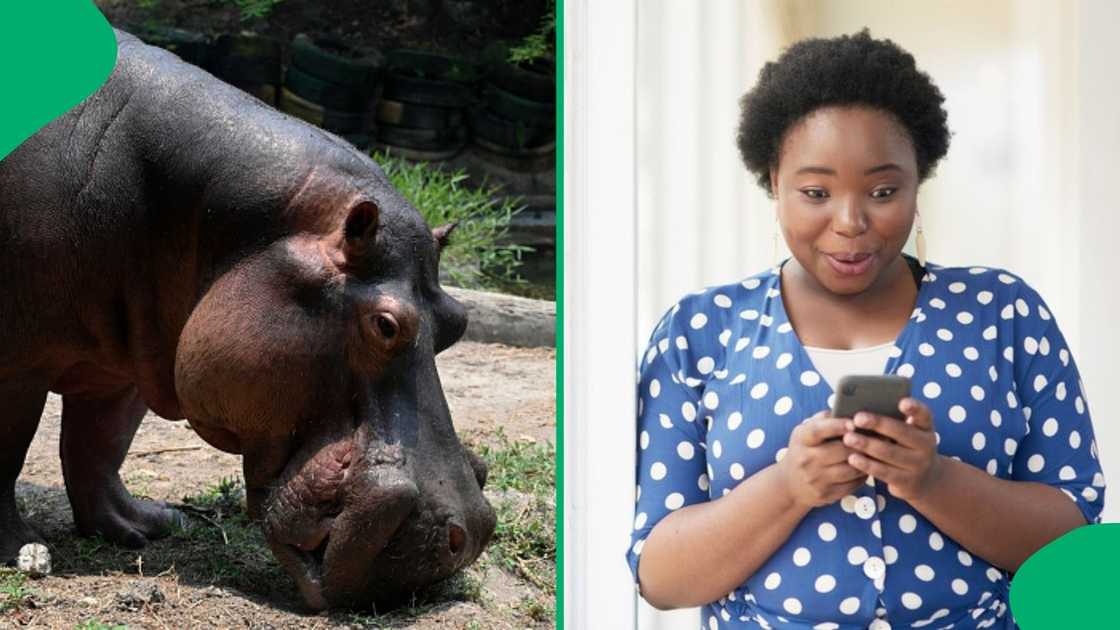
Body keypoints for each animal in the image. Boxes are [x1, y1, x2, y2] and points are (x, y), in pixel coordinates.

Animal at [0, 29, 496, 610]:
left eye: (458, 321)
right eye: (386, 326)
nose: (467, 532)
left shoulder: (125, 363)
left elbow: (99, 446)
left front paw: (144, 526)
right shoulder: (17, 366)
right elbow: (8, 454)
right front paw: (23, 550)